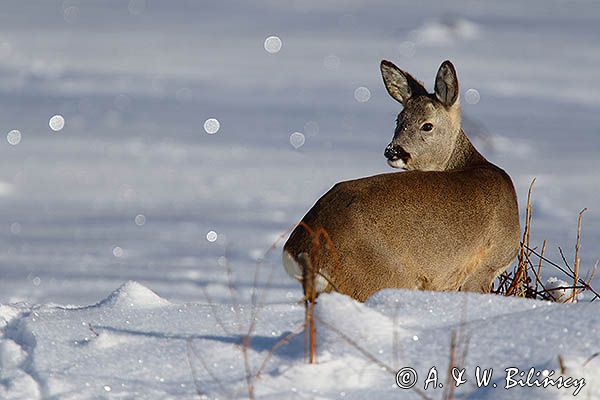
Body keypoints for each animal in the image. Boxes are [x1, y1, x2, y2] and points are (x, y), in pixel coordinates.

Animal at [282, 59, 520, 302]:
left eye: (427, 125)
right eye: (399, 120)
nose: (393, 150)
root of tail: (299, 249)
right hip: (376, 277)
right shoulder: (487, 265)